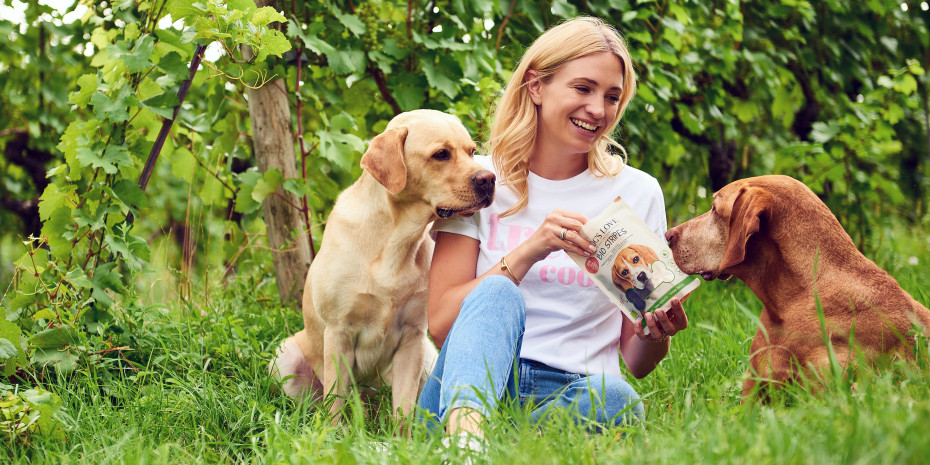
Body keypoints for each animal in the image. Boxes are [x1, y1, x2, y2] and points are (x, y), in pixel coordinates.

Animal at [270, 110, 492, 418]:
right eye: (441, 154)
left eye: (472, 152)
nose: (489, 179)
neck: (396, 239)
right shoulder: (339, 331)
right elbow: (335, 403)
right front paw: (332, 430)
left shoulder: (413, 336)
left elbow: (404, 408)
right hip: (284, 357)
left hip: (428, 355)